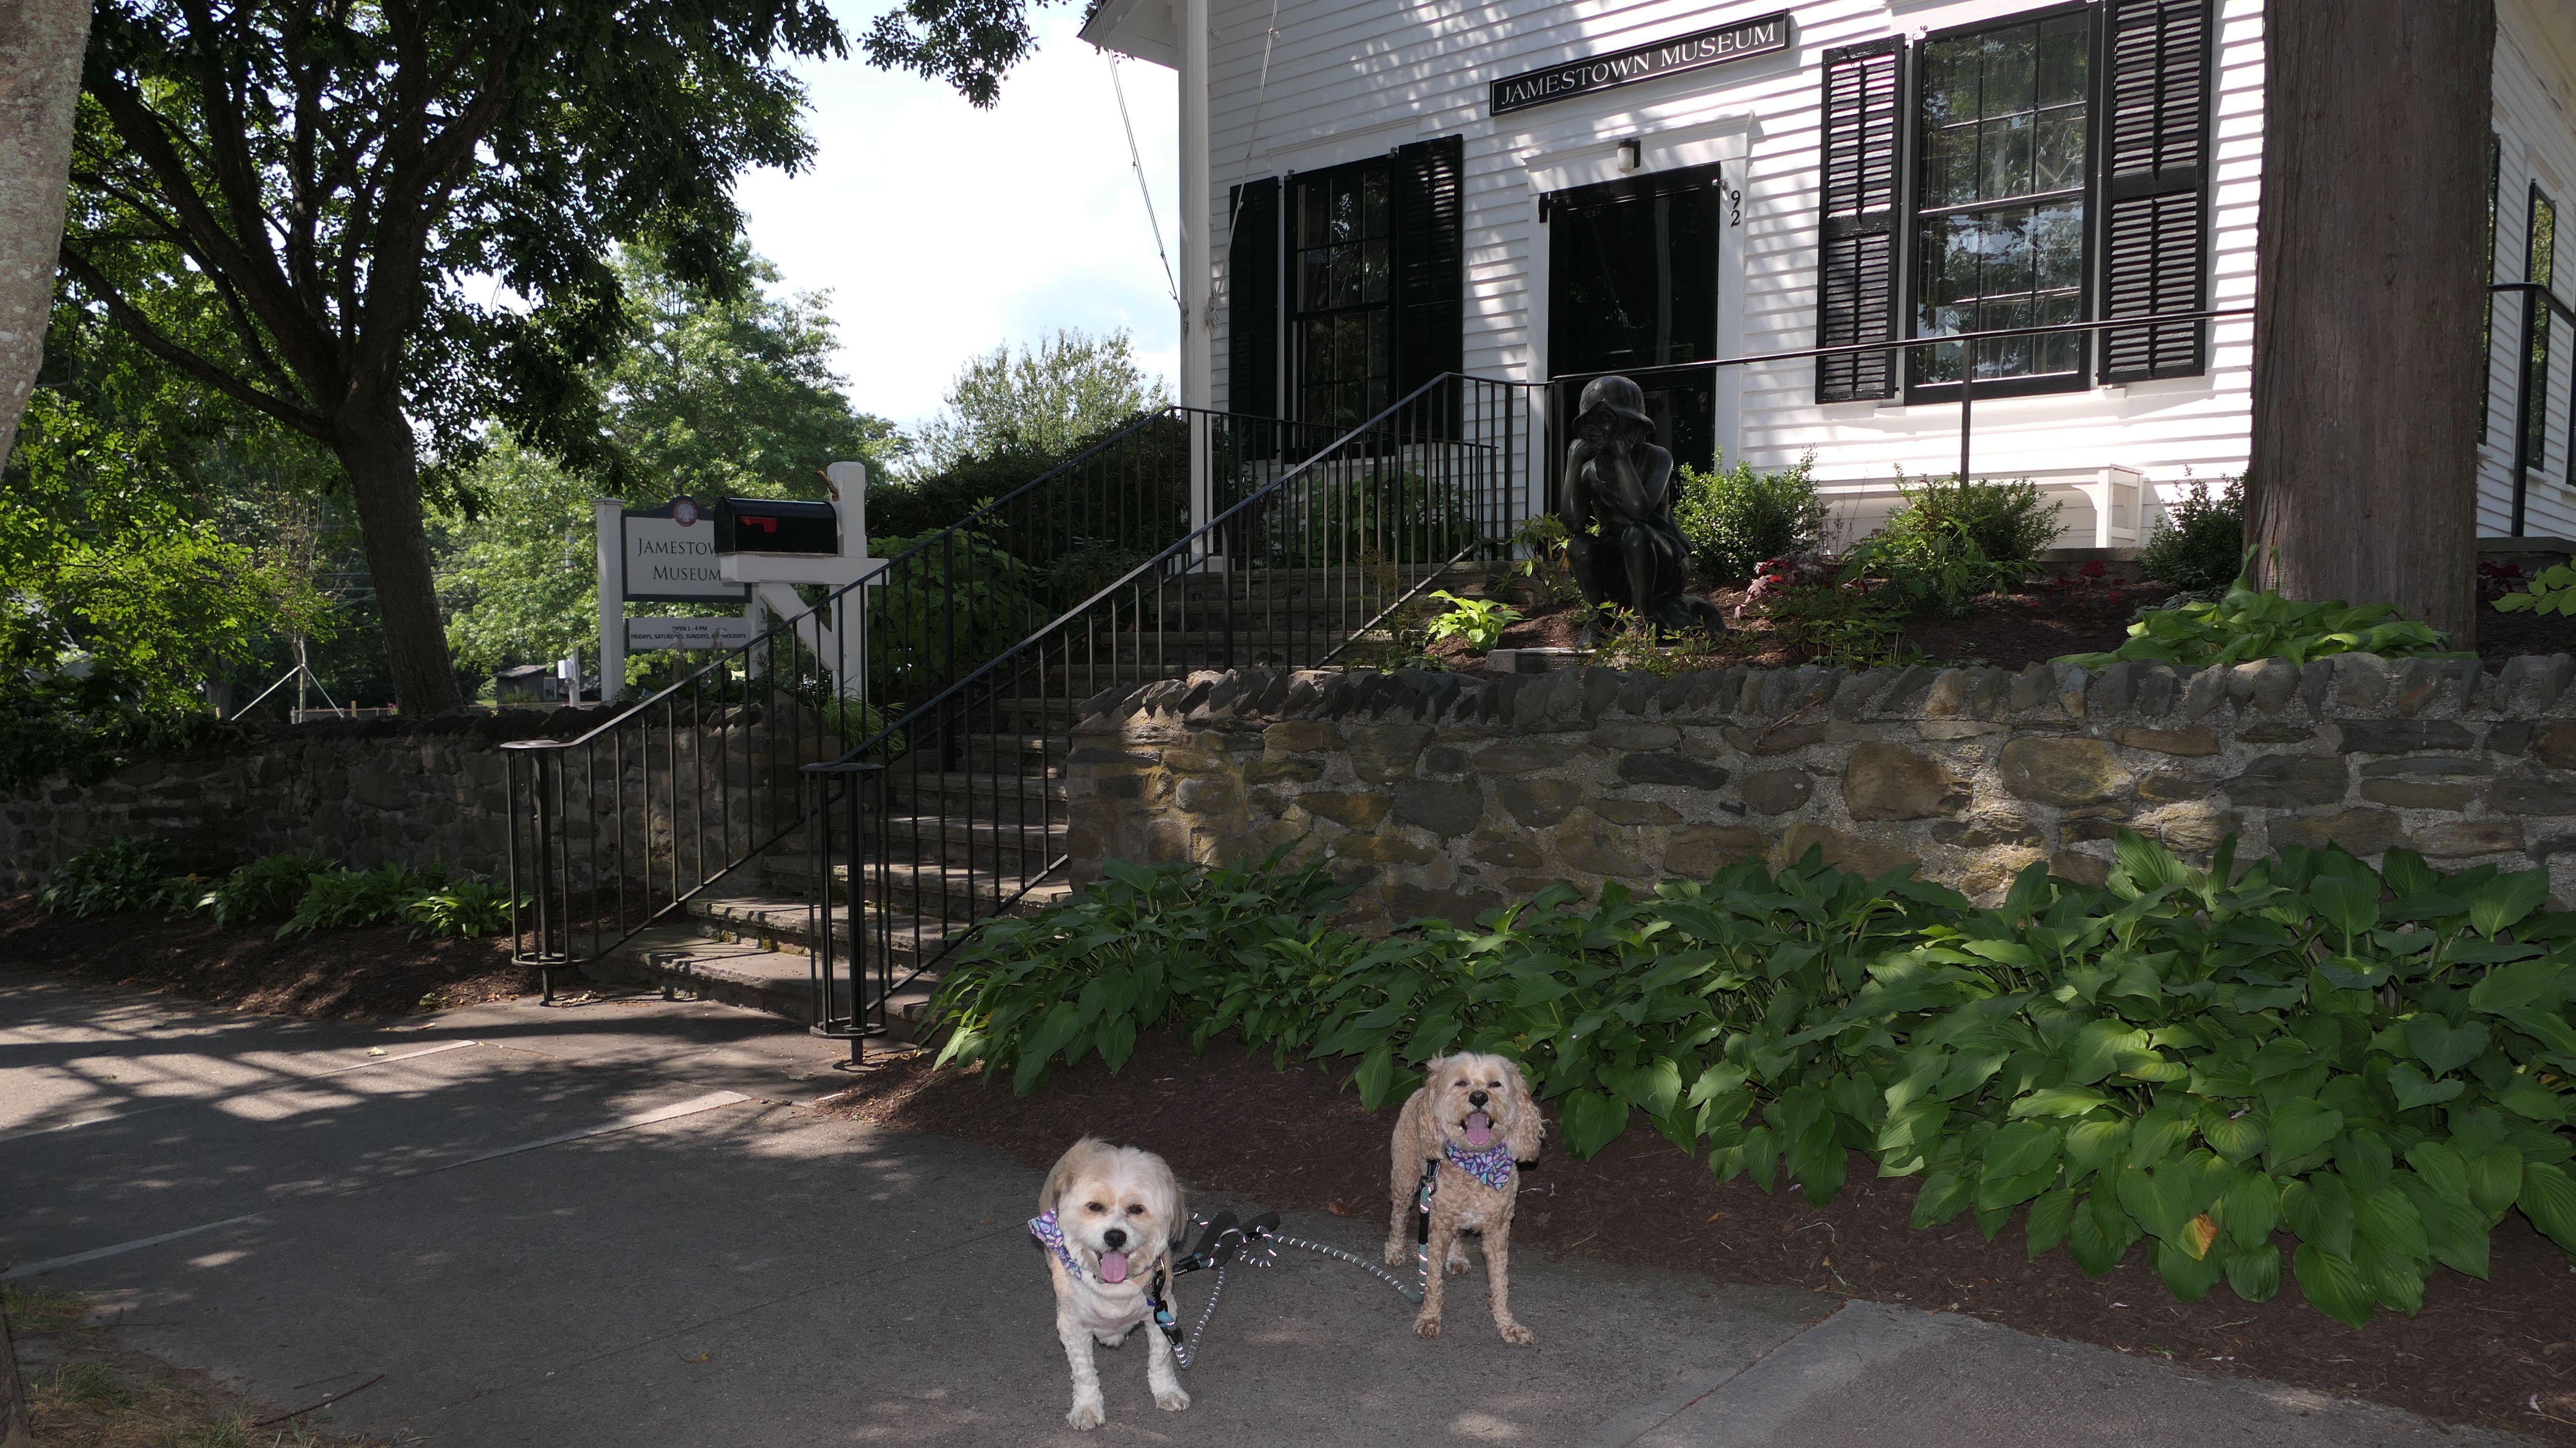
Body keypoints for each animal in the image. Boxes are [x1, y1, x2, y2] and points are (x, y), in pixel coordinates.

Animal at [1032, 1137, 1191, 1430]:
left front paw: (1167, 1392)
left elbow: (1161, 1361)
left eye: (1137, 1210)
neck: (1114, 1286)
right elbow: (1084, 1373)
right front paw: (1087, 1408)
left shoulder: (1162, 1313)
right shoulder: (1073, 1327)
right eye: (1095, 1207)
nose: (1115, 1236)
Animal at [1383, 1052, 1543, 1344]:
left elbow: (1500, 1282)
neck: (1476, 1165)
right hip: (1405, 1178)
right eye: (1460, 1083)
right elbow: (1432, 1281)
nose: (1479, 1097)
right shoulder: (1435, 1229)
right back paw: (1396, 1250)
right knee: (1398, 1216)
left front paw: (1507, 1325)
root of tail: (1423, 1089)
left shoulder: (1498, 1232)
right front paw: (1429, 1318)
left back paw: (1456, 1257)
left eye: (1495, 1084)